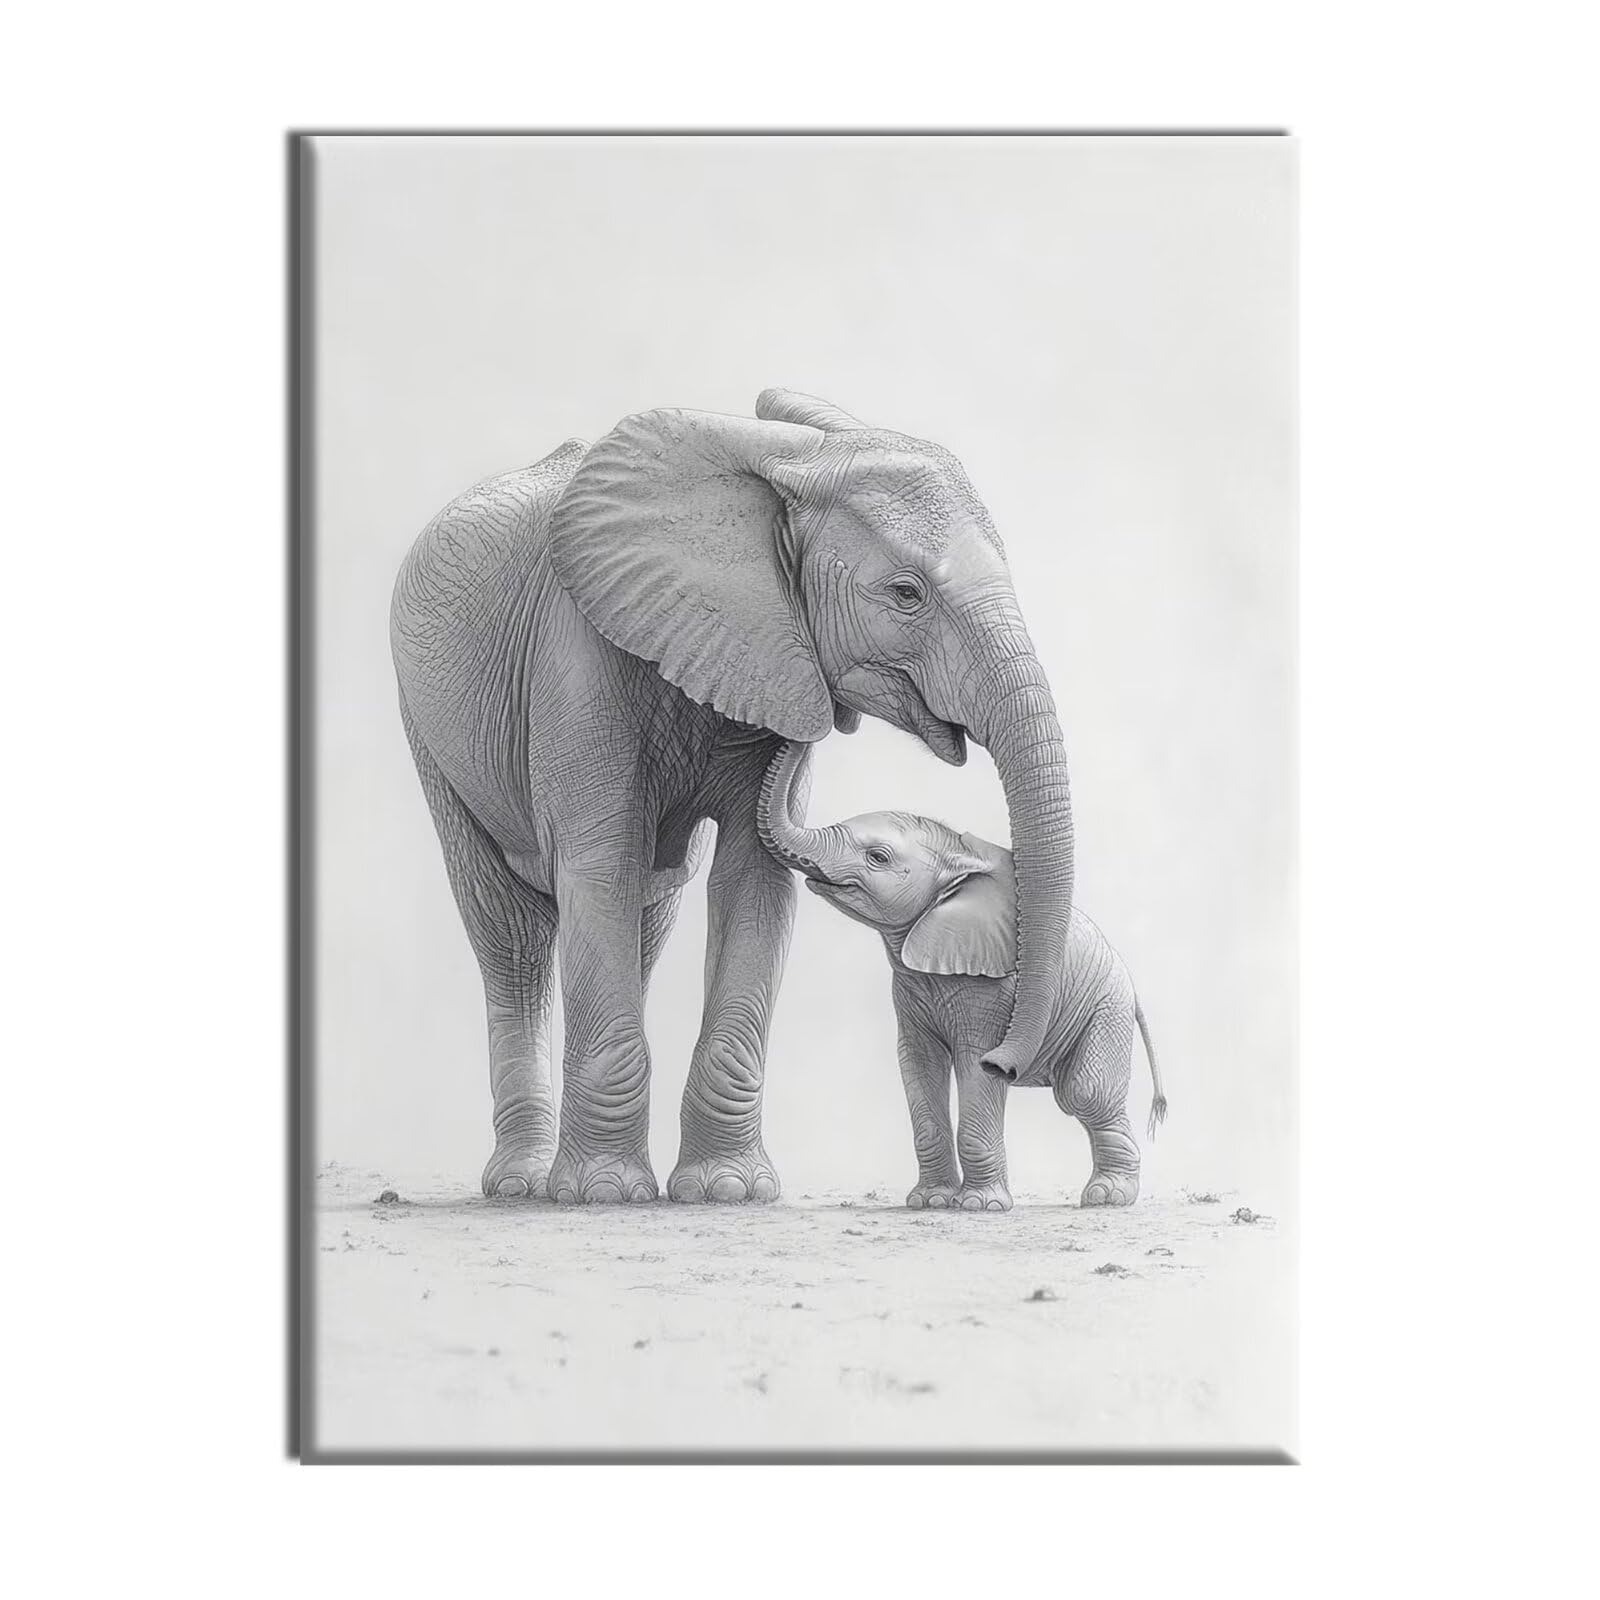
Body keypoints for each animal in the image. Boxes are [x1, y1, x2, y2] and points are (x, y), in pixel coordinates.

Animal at [390, 389, 1075, 1205]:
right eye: (905, 594)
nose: (1003, 1064)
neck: (781, 464)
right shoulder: (575, 649)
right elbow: (598, 863)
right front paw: (604, 1195)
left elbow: (753, 877)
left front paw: (727, 1191)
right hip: (429, 729)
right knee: (511, 931)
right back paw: (524, 1185)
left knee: (649, 906)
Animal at [758, 740, 1165, 1211]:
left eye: (877, 857)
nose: (800, 740)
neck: (959, 861)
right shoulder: (909, 989)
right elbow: (918, 1063)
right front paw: (929, 1202)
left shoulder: (994, 993)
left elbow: (975, 1063)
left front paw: (980, 1207)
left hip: (1107, 1006)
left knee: (1085, 1092)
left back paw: (1108, 1197)